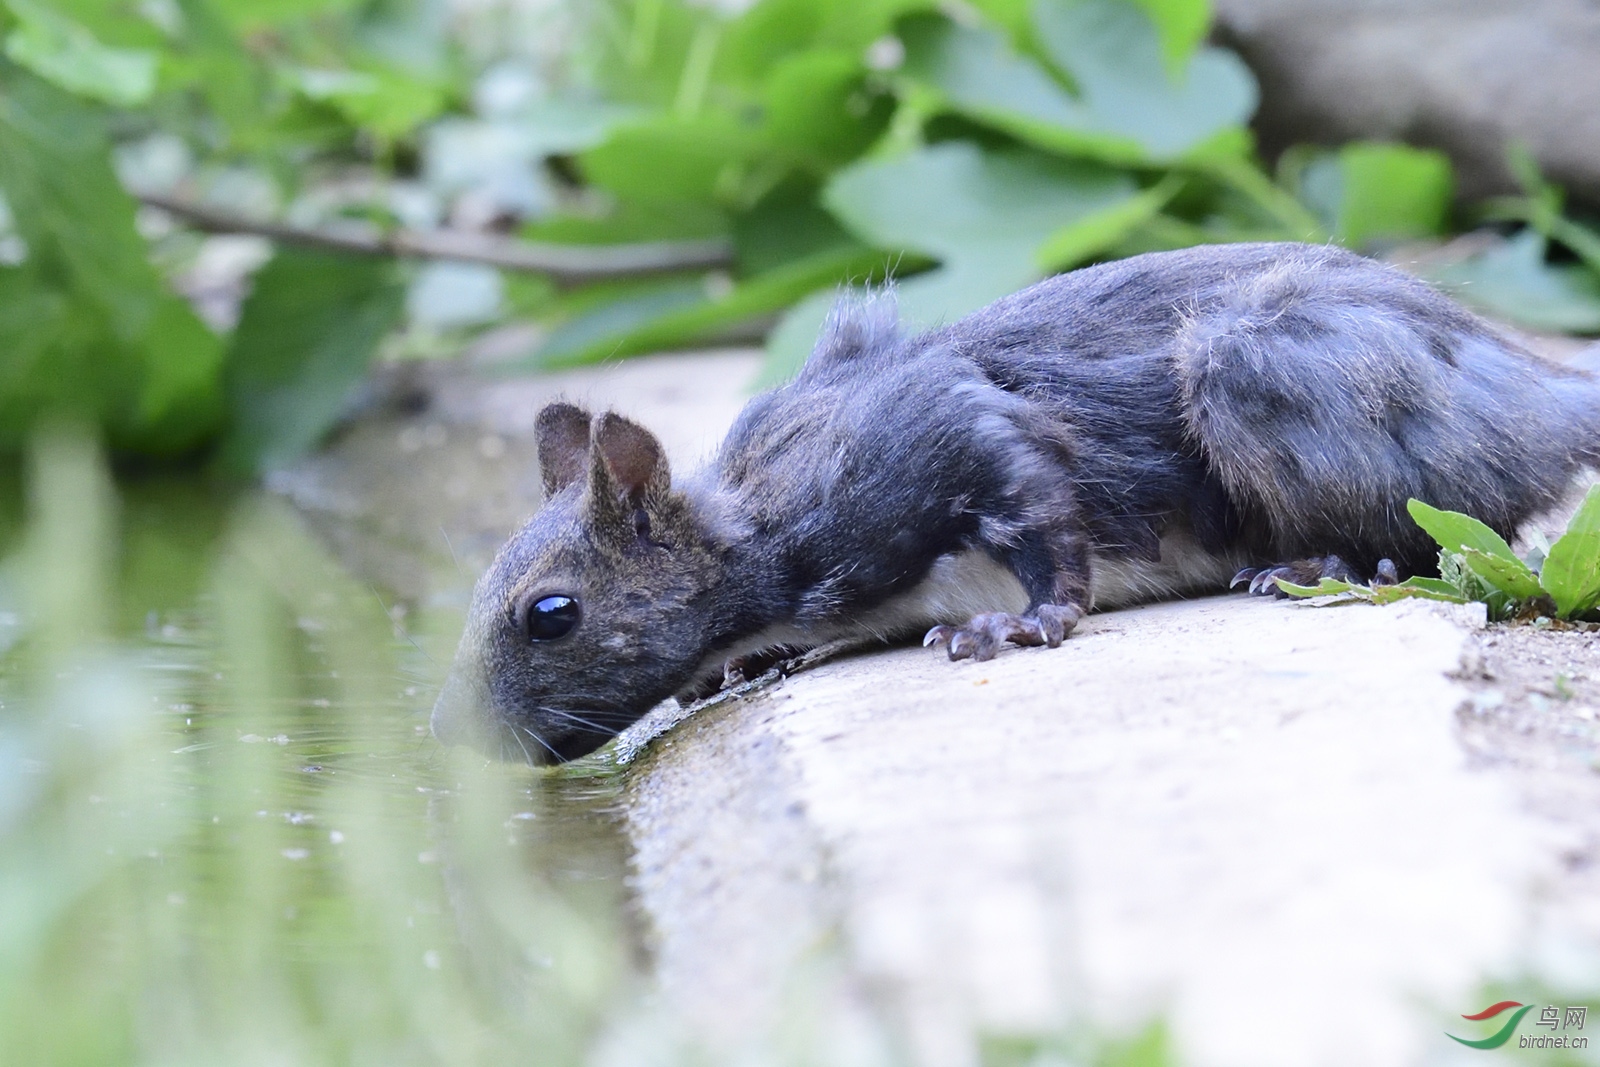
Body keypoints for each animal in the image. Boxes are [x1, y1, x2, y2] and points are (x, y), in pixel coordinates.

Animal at [432, 243, 1600, 764]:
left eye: (552, 612)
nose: (450, 739)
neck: (755, 527)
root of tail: (1535, 389)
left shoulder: (925, 440)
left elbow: (1037, 508)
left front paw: (1019, 623)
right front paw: (742, 665)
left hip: (1266, 369)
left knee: (1441, 534)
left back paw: (1322, 565)